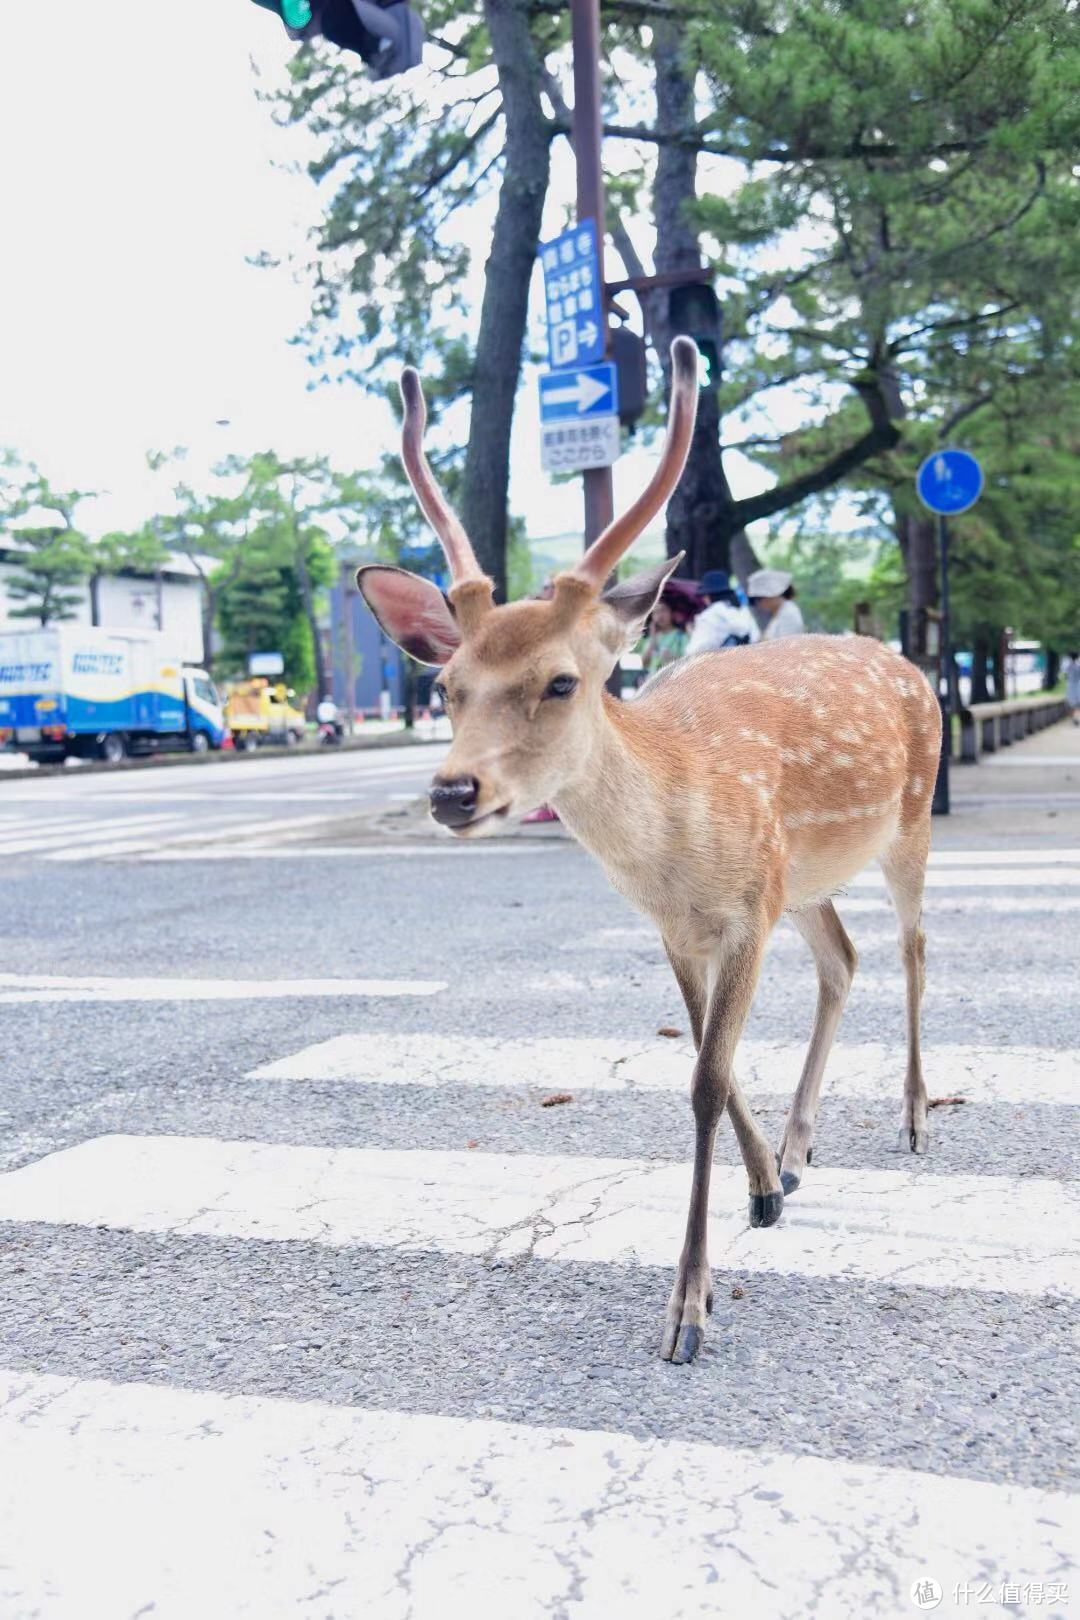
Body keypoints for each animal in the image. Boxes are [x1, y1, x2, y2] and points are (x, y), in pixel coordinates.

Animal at [359, 338, 939, 1367]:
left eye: (561, 681)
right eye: (449, 686)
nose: (452, 791)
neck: (677, 837)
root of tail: (914, 665)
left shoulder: (745, 911)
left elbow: (705, 1081)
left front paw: (689, 1308)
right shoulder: (683, 926)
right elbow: (713, 1061)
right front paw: (765, 1186)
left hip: (907, 824)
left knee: (912, 946)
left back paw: (913, 1116)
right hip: (805, 882)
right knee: (844, 959)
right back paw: (800, 1149)